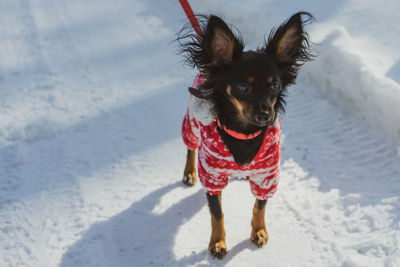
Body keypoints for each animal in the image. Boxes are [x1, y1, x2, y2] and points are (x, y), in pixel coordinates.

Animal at [177, 12, 312, 260]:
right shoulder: (212, 175)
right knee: (190, 146)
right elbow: (217, 213)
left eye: (274, 86)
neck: (244, 133)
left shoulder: (267, 175)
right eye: (243, 88)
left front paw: (259, 231)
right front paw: (217, 243)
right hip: (192, 123)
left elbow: (260, 205)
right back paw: (189, 173)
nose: (266, 115)